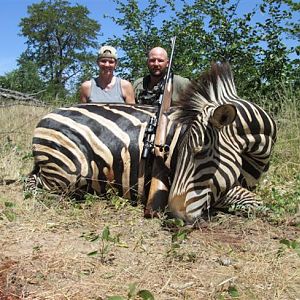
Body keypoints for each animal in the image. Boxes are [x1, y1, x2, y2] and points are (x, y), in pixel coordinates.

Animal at [27, 62, 276, 223]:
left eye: (201, 153)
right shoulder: (221, 191)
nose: (174, 215)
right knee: (37, 187)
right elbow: (258, 205)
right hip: (68, 171)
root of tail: (48, 115)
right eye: (181, 152)